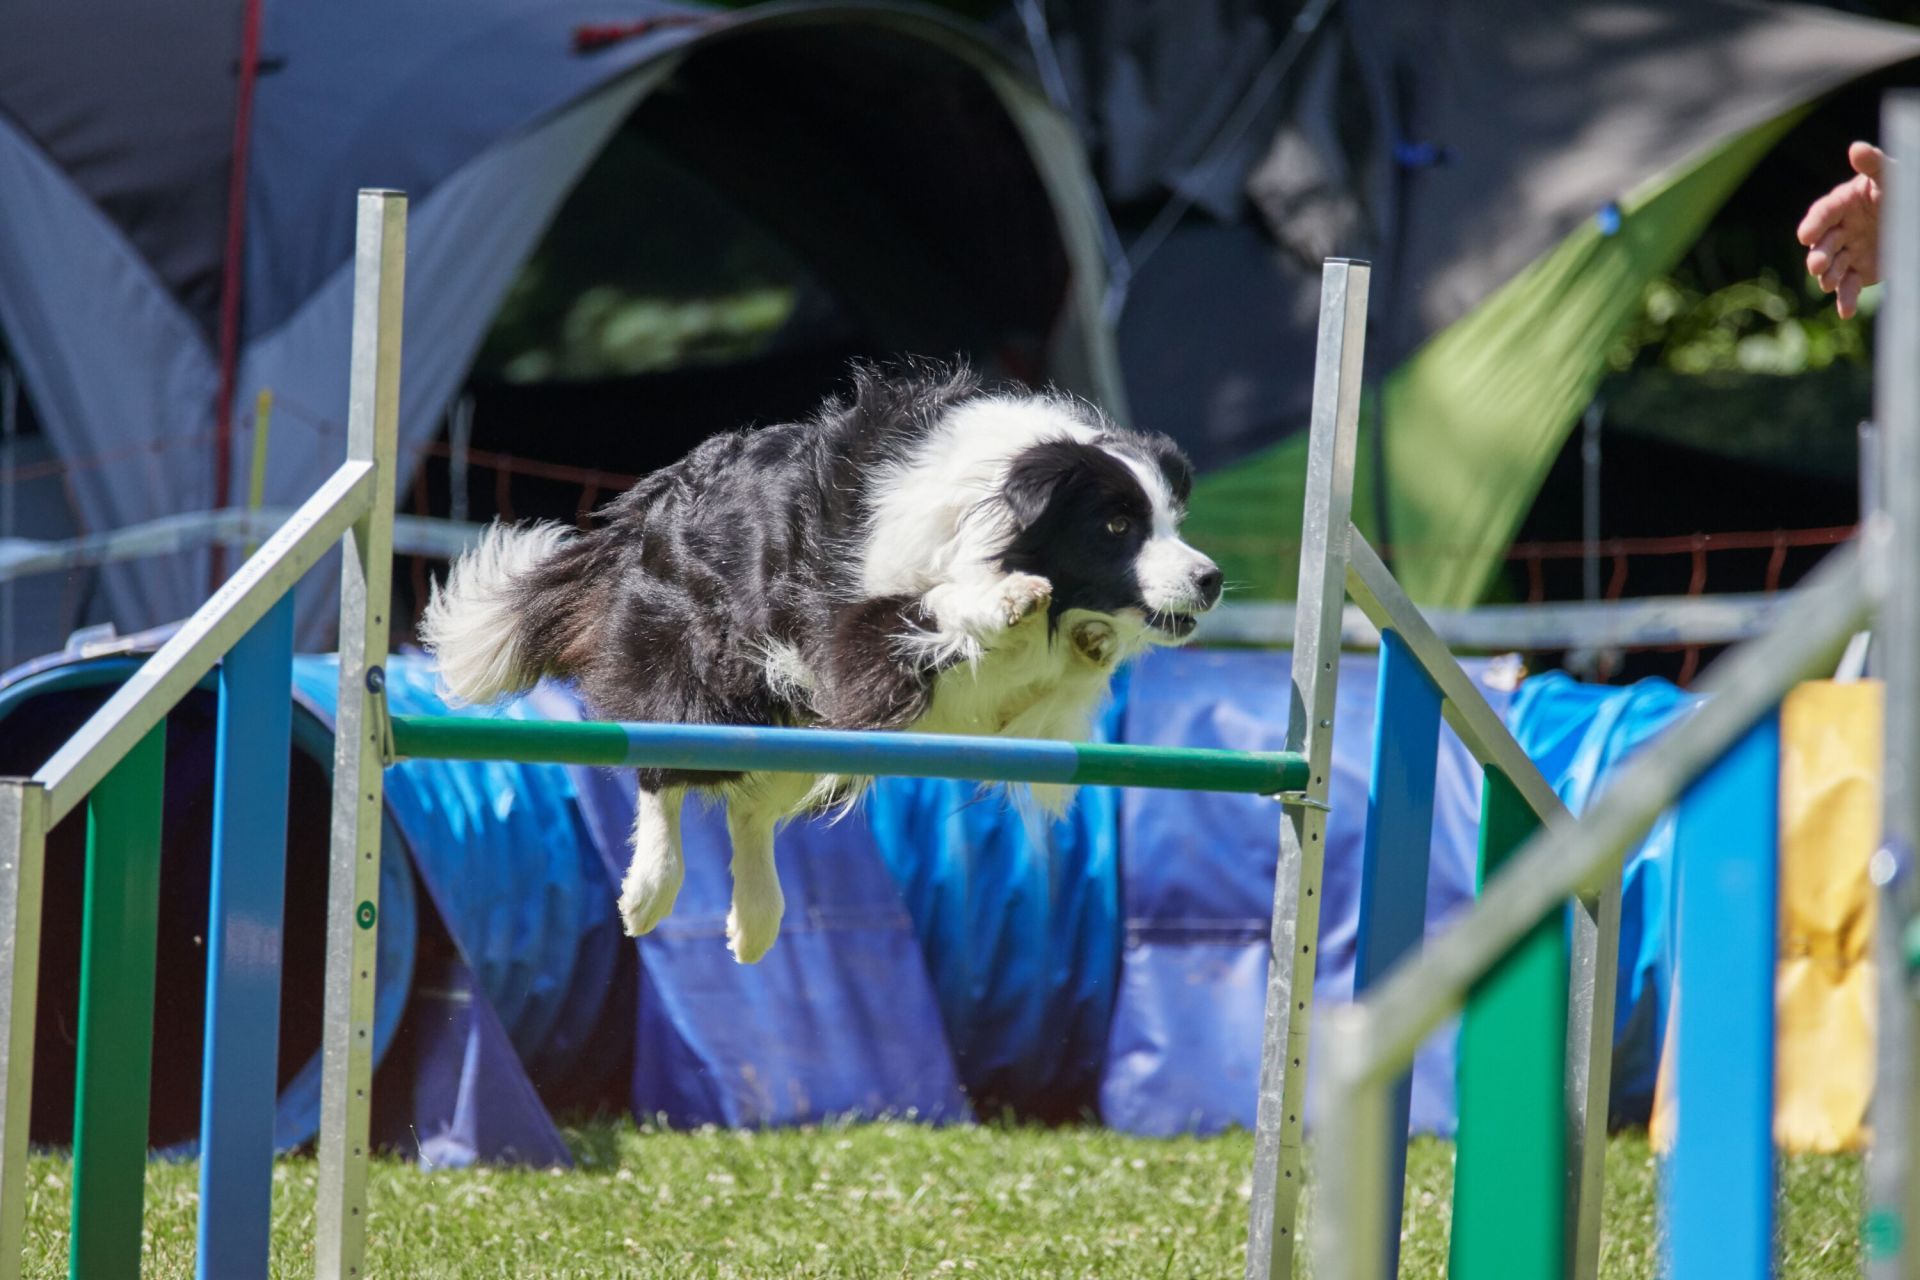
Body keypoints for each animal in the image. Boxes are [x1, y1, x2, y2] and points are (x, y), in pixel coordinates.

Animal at [421, 361, 1221, 963]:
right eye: (1115, 525)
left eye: (1173, 521)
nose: (1211, 578)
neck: (996, 504)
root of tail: (650, 504)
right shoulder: (849, 637)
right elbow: (928, 607)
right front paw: (1005, 599)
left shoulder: (1003, 714)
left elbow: (1056, 670)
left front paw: (1089, 639)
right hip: (709, 666)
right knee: (665, 767)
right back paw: (649, 892)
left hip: (805, 720)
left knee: (751, 804)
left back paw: (756, 921)